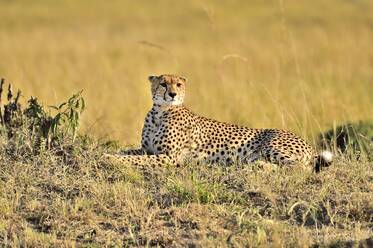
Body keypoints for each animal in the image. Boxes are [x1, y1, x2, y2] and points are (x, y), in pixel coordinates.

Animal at [104, 73, 332, 170]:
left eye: (178, 84)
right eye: (163, 84)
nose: (172, 94)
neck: (160, 112)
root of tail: (308, 145)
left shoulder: (169, 157)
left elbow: (135, 160)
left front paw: (111, 159)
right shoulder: (148, 149)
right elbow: (129, 152)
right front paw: (107, 154)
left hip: (272, 147)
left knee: (299, 168)